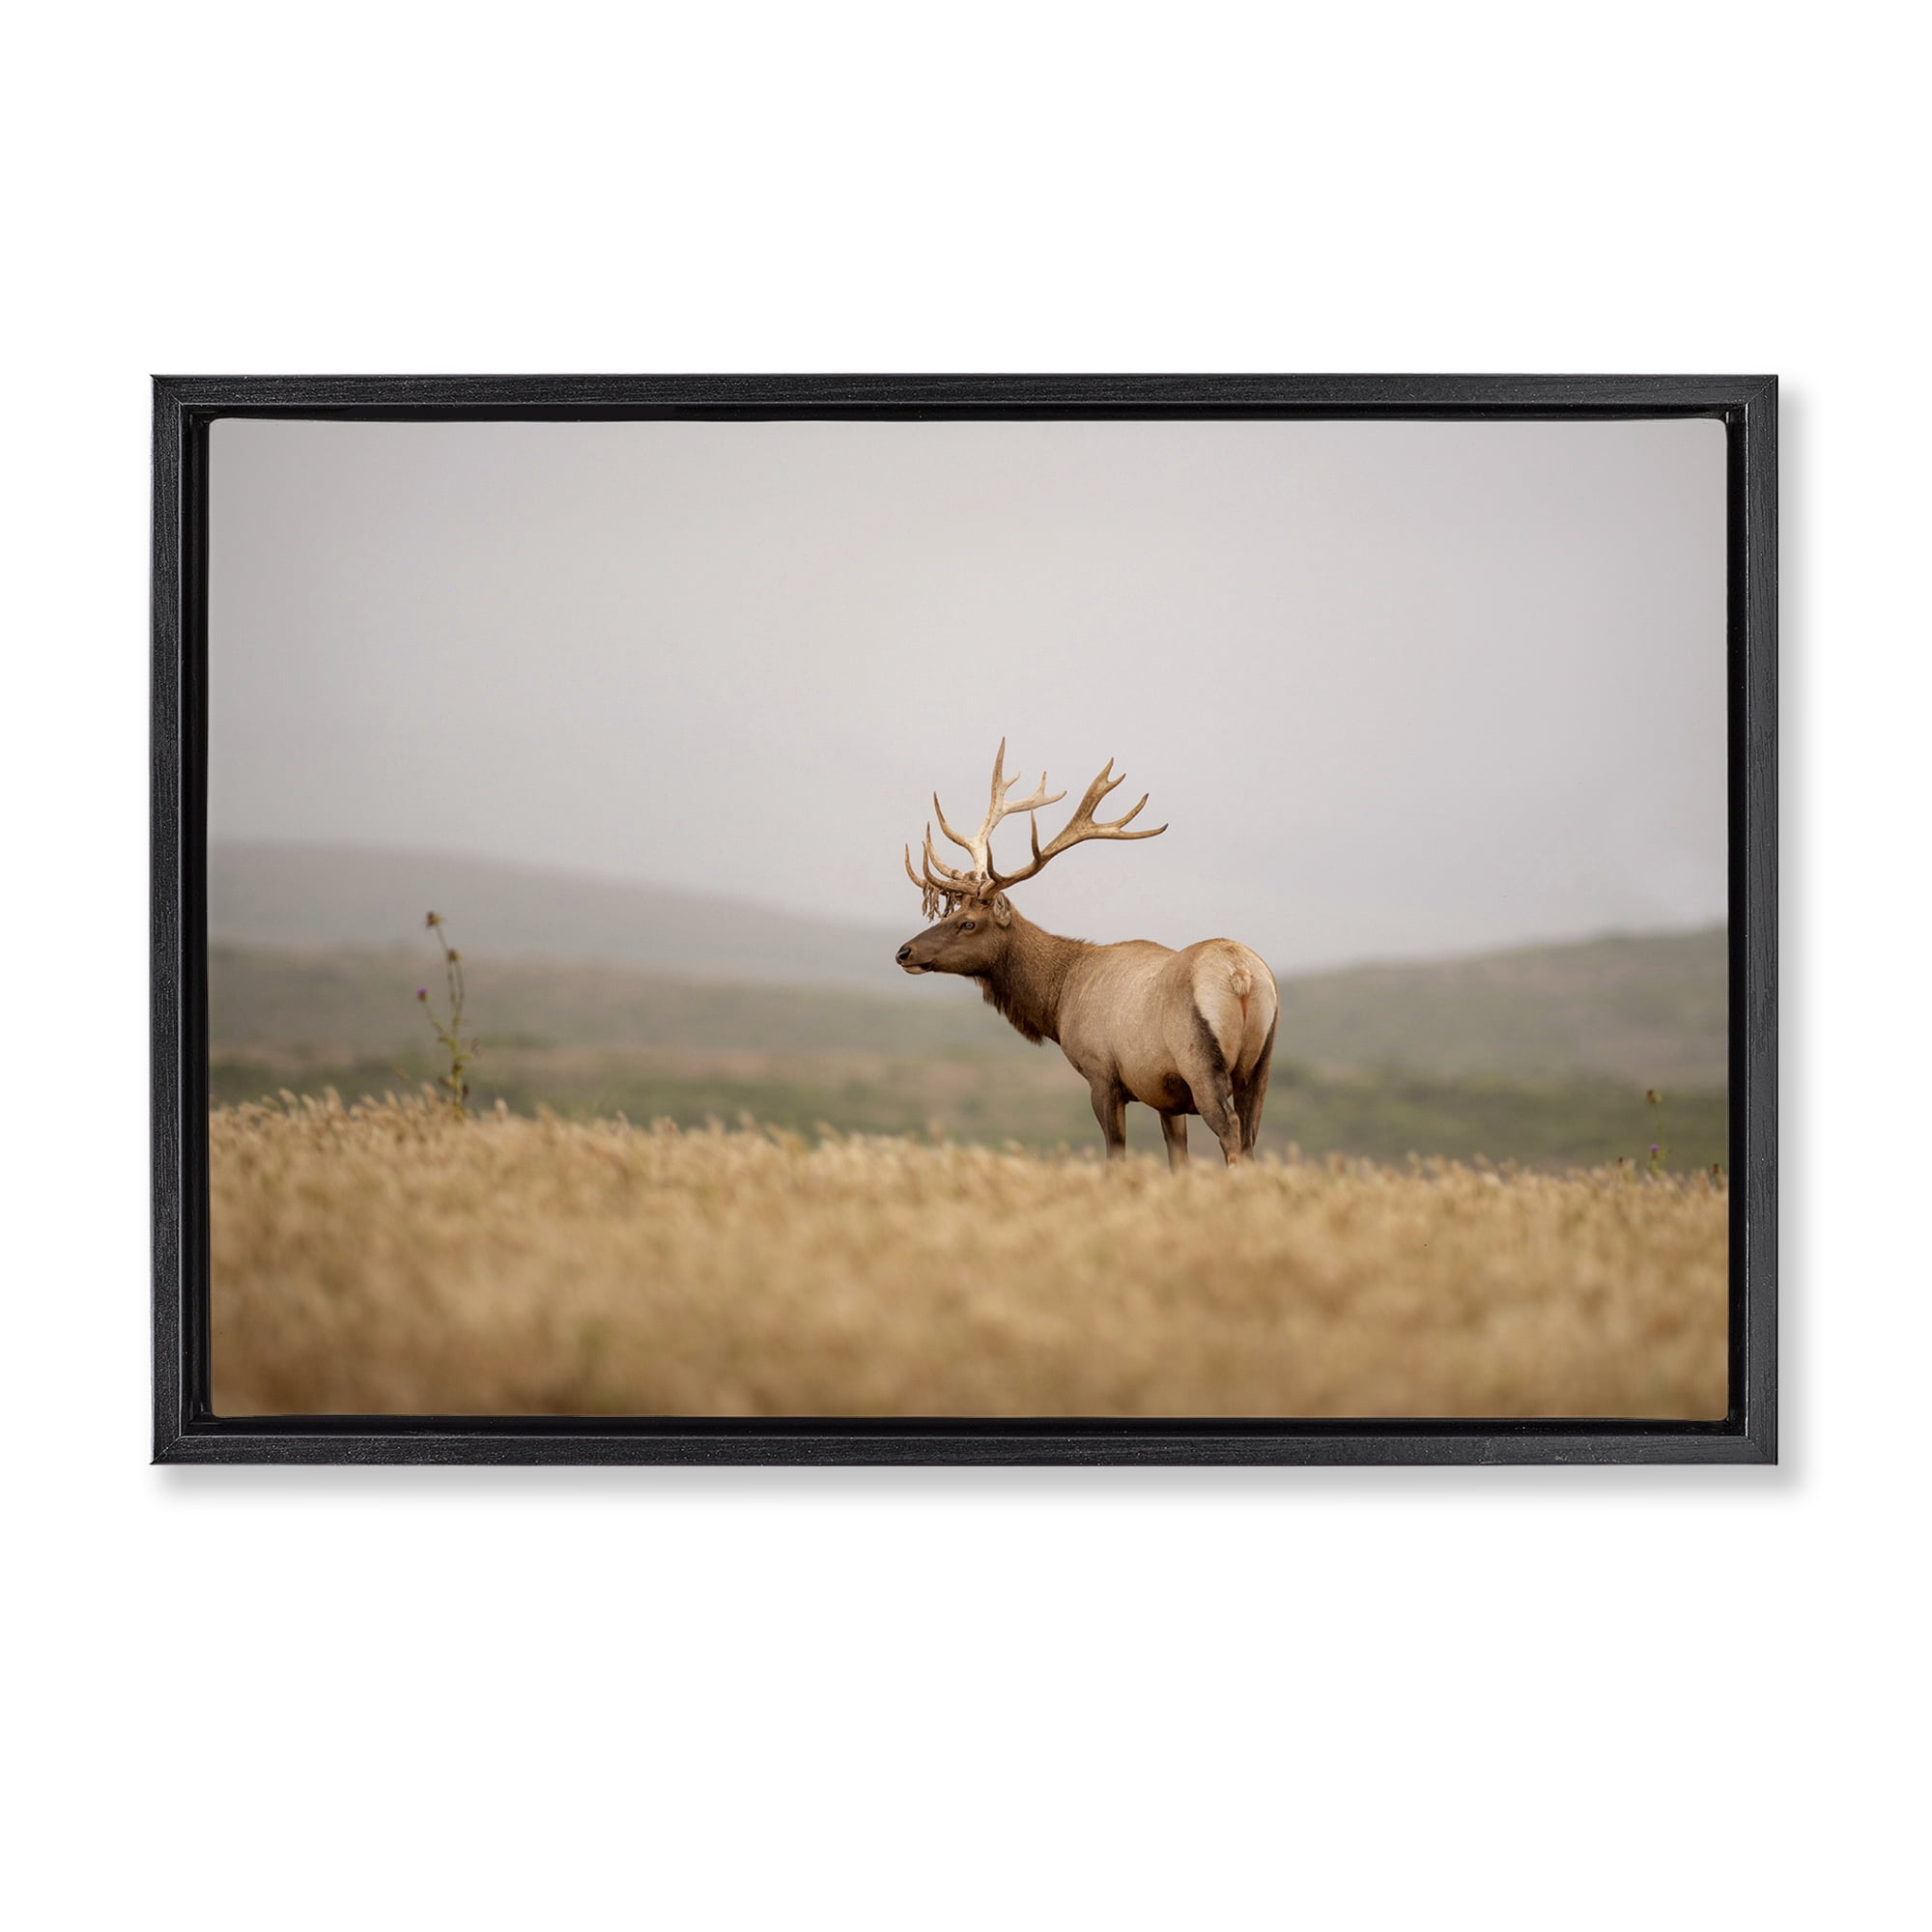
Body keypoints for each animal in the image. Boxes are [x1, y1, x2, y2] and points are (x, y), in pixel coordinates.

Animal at [897, 742, 1279, 1170]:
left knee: (1231, 1133)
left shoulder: (1102, 1074)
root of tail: (1241, 974)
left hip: (1200, 1062)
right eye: (948, 913)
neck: (1059, 998)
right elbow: (1177, 1159)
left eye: (967, 923)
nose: (905, 951)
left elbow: (1115, 1155)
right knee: (1249, 1138)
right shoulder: (1165, 1094)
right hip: (1261, 1066)